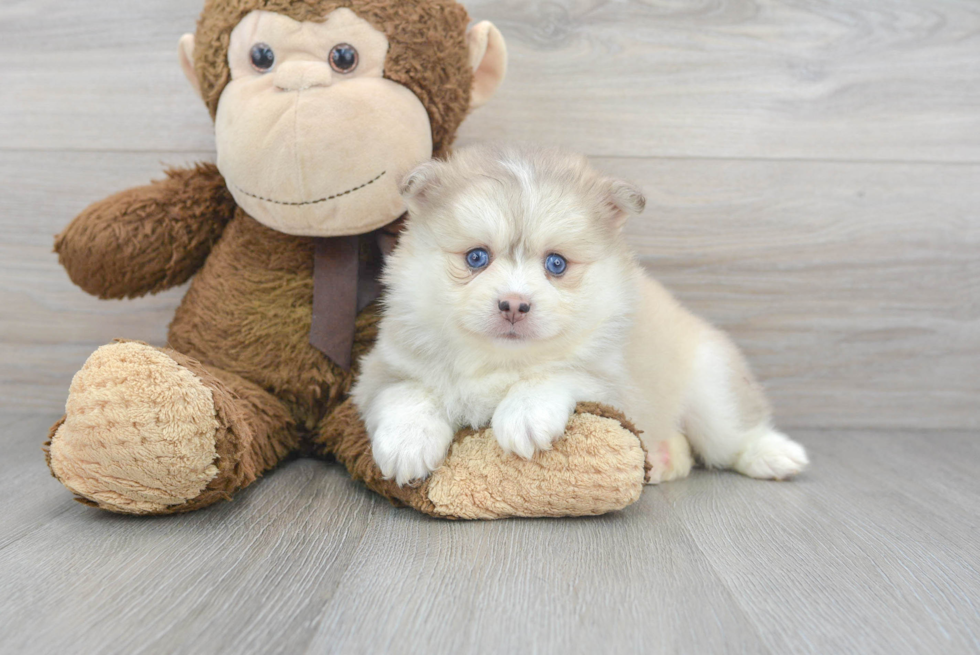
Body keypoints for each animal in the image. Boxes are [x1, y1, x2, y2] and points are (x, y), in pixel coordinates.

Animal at [356, 142, 808, 486]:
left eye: (556, 264)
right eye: (476, 257)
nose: (514, 304)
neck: (499, 361)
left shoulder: (611, 383)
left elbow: (561, 372)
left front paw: (524, 413)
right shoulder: (378, 370)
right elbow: (406, 391)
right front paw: (409, 441)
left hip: (711, 390)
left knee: (733, 435)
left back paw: (774, 454)